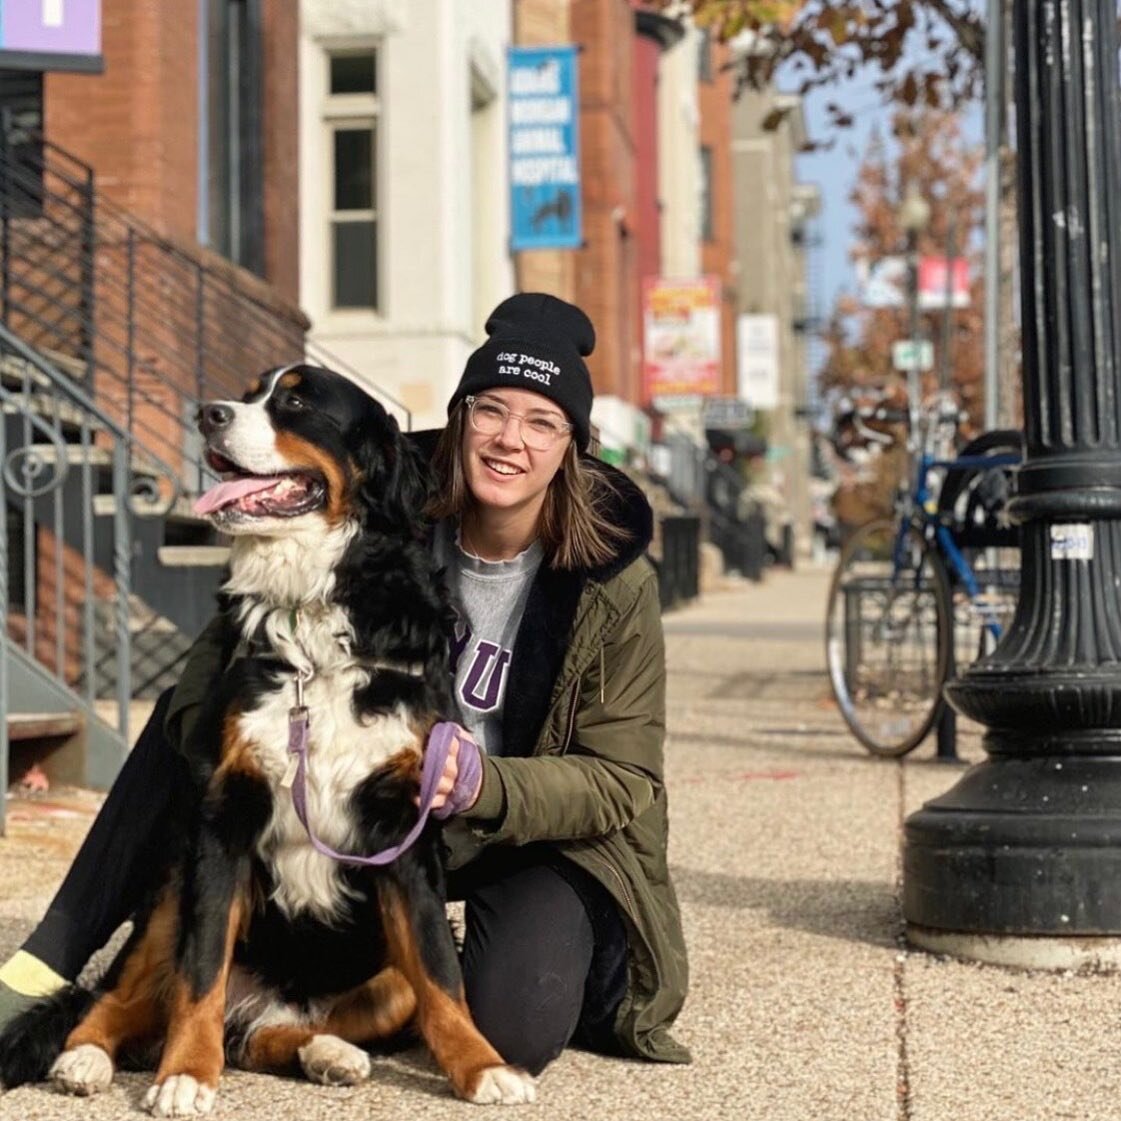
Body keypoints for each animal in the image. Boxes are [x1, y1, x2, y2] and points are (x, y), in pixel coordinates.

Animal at [0, 367, 538, 1112]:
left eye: (296, 401)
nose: (207, 414)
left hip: (372, 979)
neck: (309, 612)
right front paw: (184, 1076)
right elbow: (199, 974)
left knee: (267, 1036)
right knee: (127, 1000)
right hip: (170, 895)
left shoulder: (402, 827)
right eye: (253, 392)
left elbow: (439, 974)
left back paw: (326, 1052)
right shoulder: (224, 818)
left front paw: (483, 1065)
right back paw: (84, 1058)